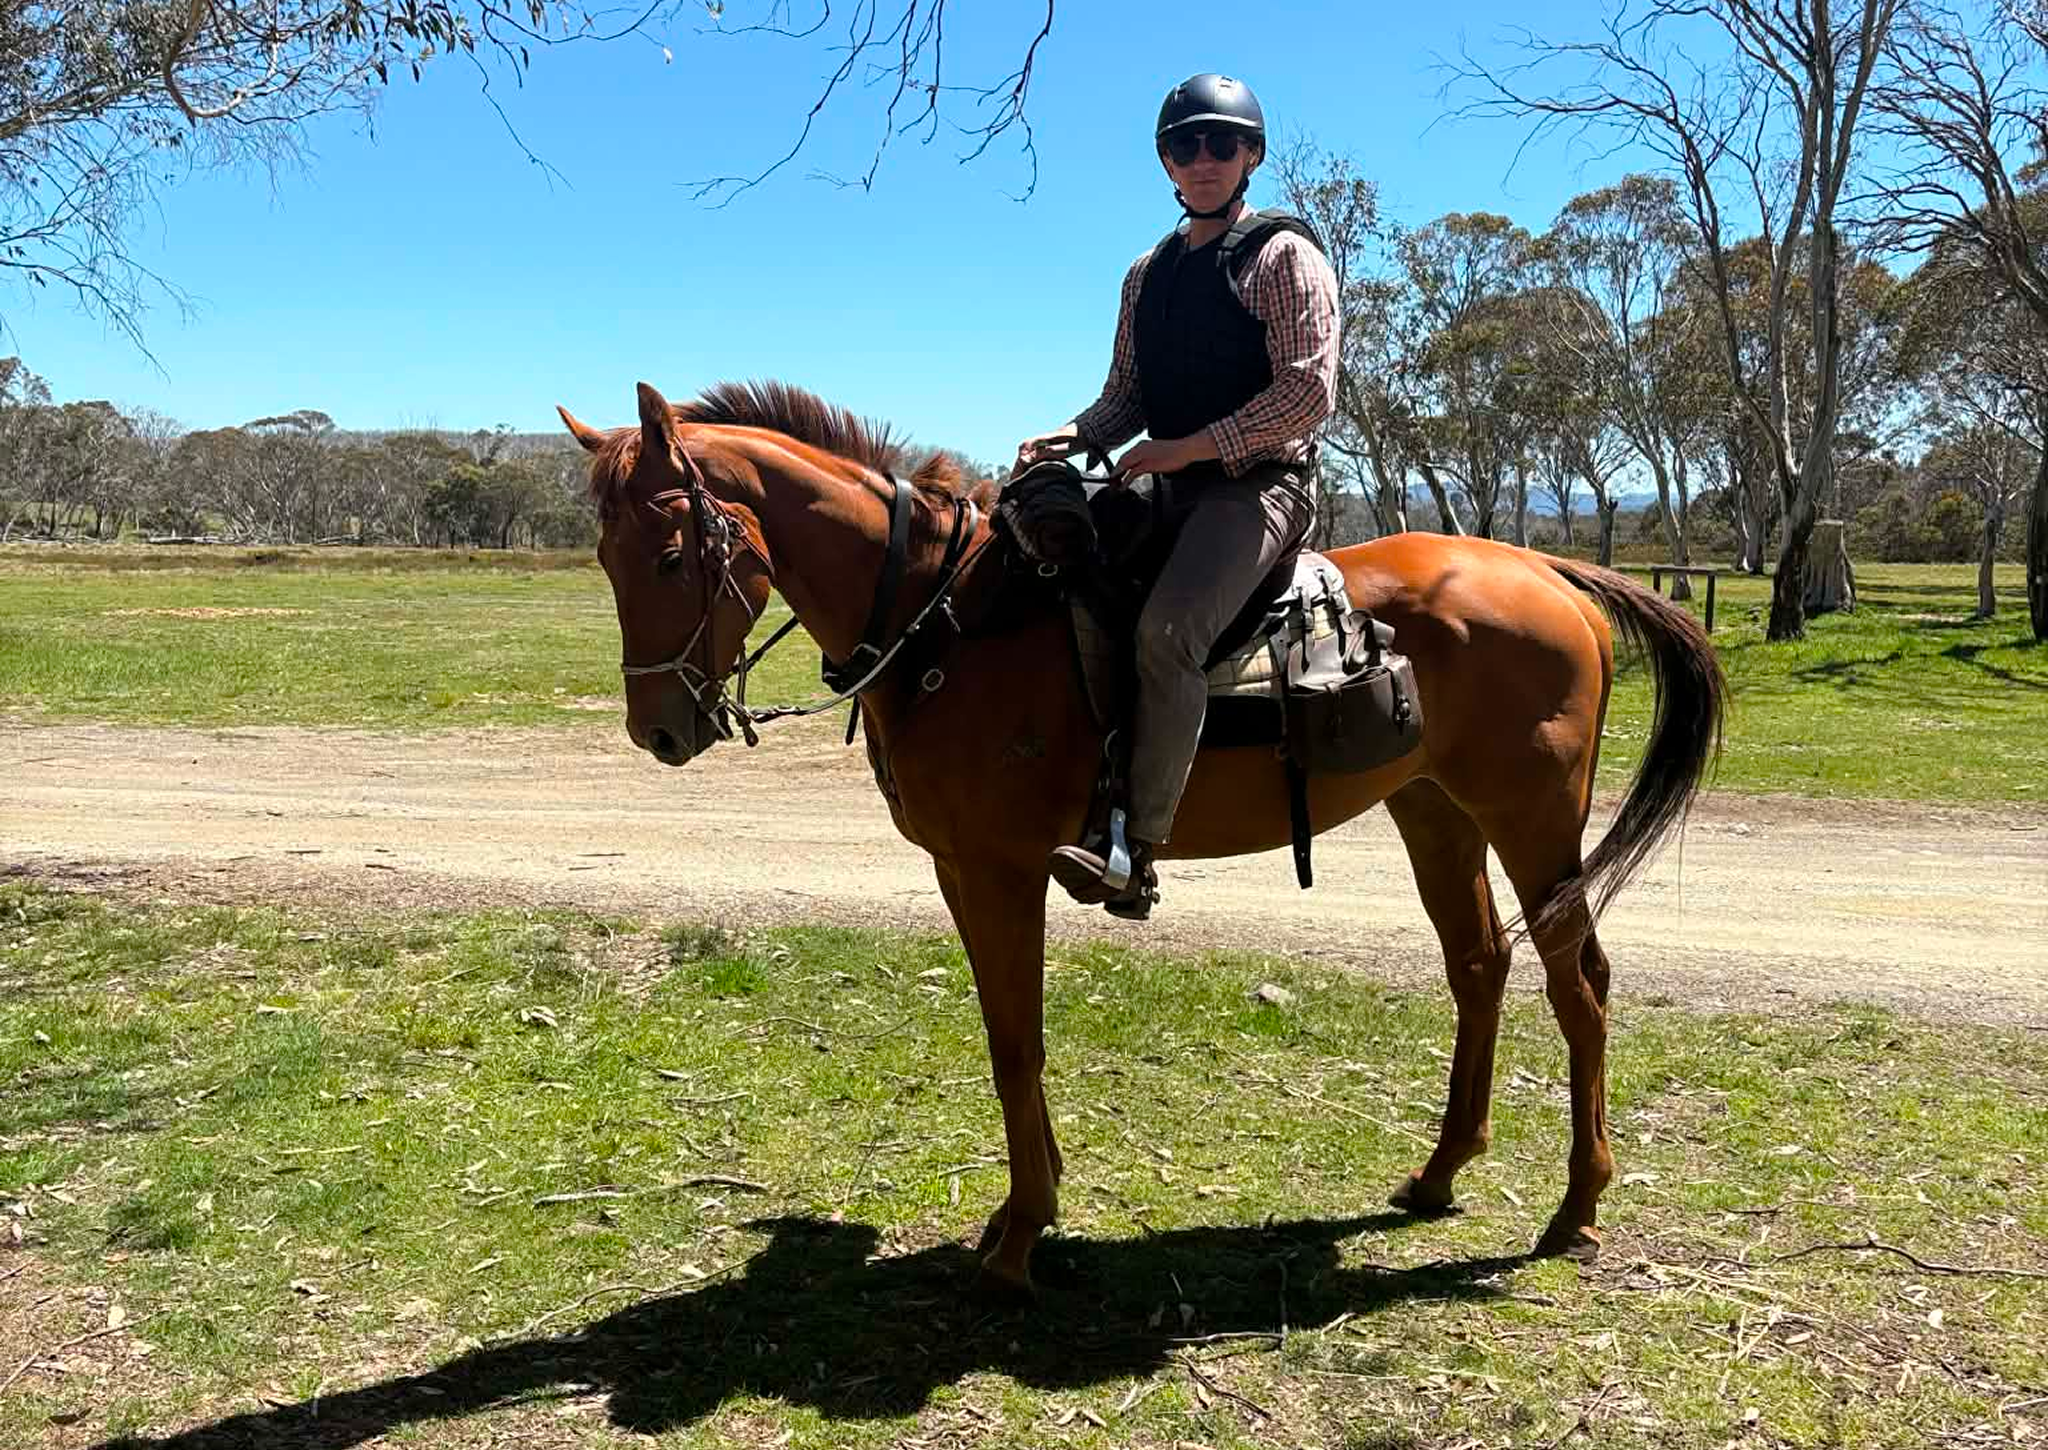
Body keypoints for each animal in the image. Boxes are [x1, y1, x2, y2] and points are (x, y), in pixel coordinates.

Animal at [558, 379, 1726, 1298]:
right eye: (605, 557)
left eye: (672, 553)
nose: (658, 730)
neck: (950, 619)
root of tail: (1551, 574)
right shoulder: (959, 871)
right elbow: (1007, 1036)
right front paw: (1025, 1210)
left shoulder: (1001, 870)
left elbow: (1015, 1041)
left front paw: (1020, 1237)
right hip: (1433, 809)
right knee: (1479, 965)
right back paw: (1438, 1174)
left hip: (1531, 819)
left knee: (1579, 983)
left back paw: (1574, 1208)